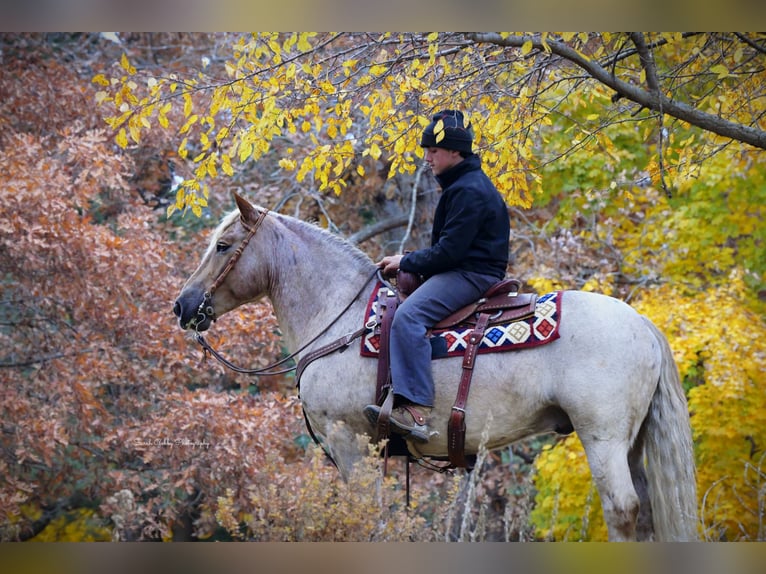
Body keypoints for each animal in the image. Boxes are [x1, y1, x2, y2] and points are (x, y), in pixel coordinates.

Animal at [172, 192, 698, 542]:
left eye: (224, 245)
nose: (183, 305)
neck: (341, 316)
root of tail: (641, 323)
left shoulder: (350, 442)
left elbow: (366, 520)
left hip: (602, 437)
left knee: (622, 510)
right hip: (631, 441)